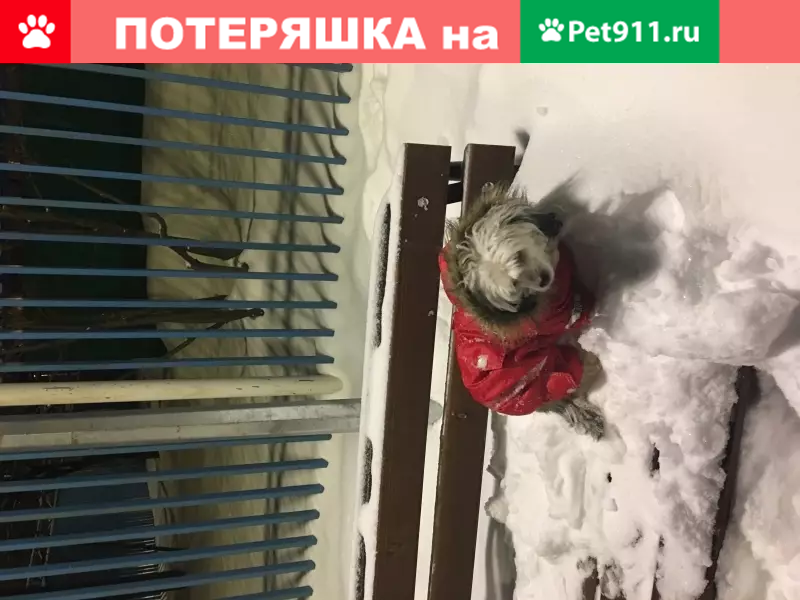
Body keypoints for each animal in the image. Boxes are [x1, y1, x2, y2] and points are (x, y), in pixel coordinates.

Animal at [439, 182, 606, 439]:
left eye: (518, 257)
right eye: (515, 284)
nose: (544, 280)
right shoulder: (563, 310)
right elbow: (581, 310)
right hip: (551, 371)